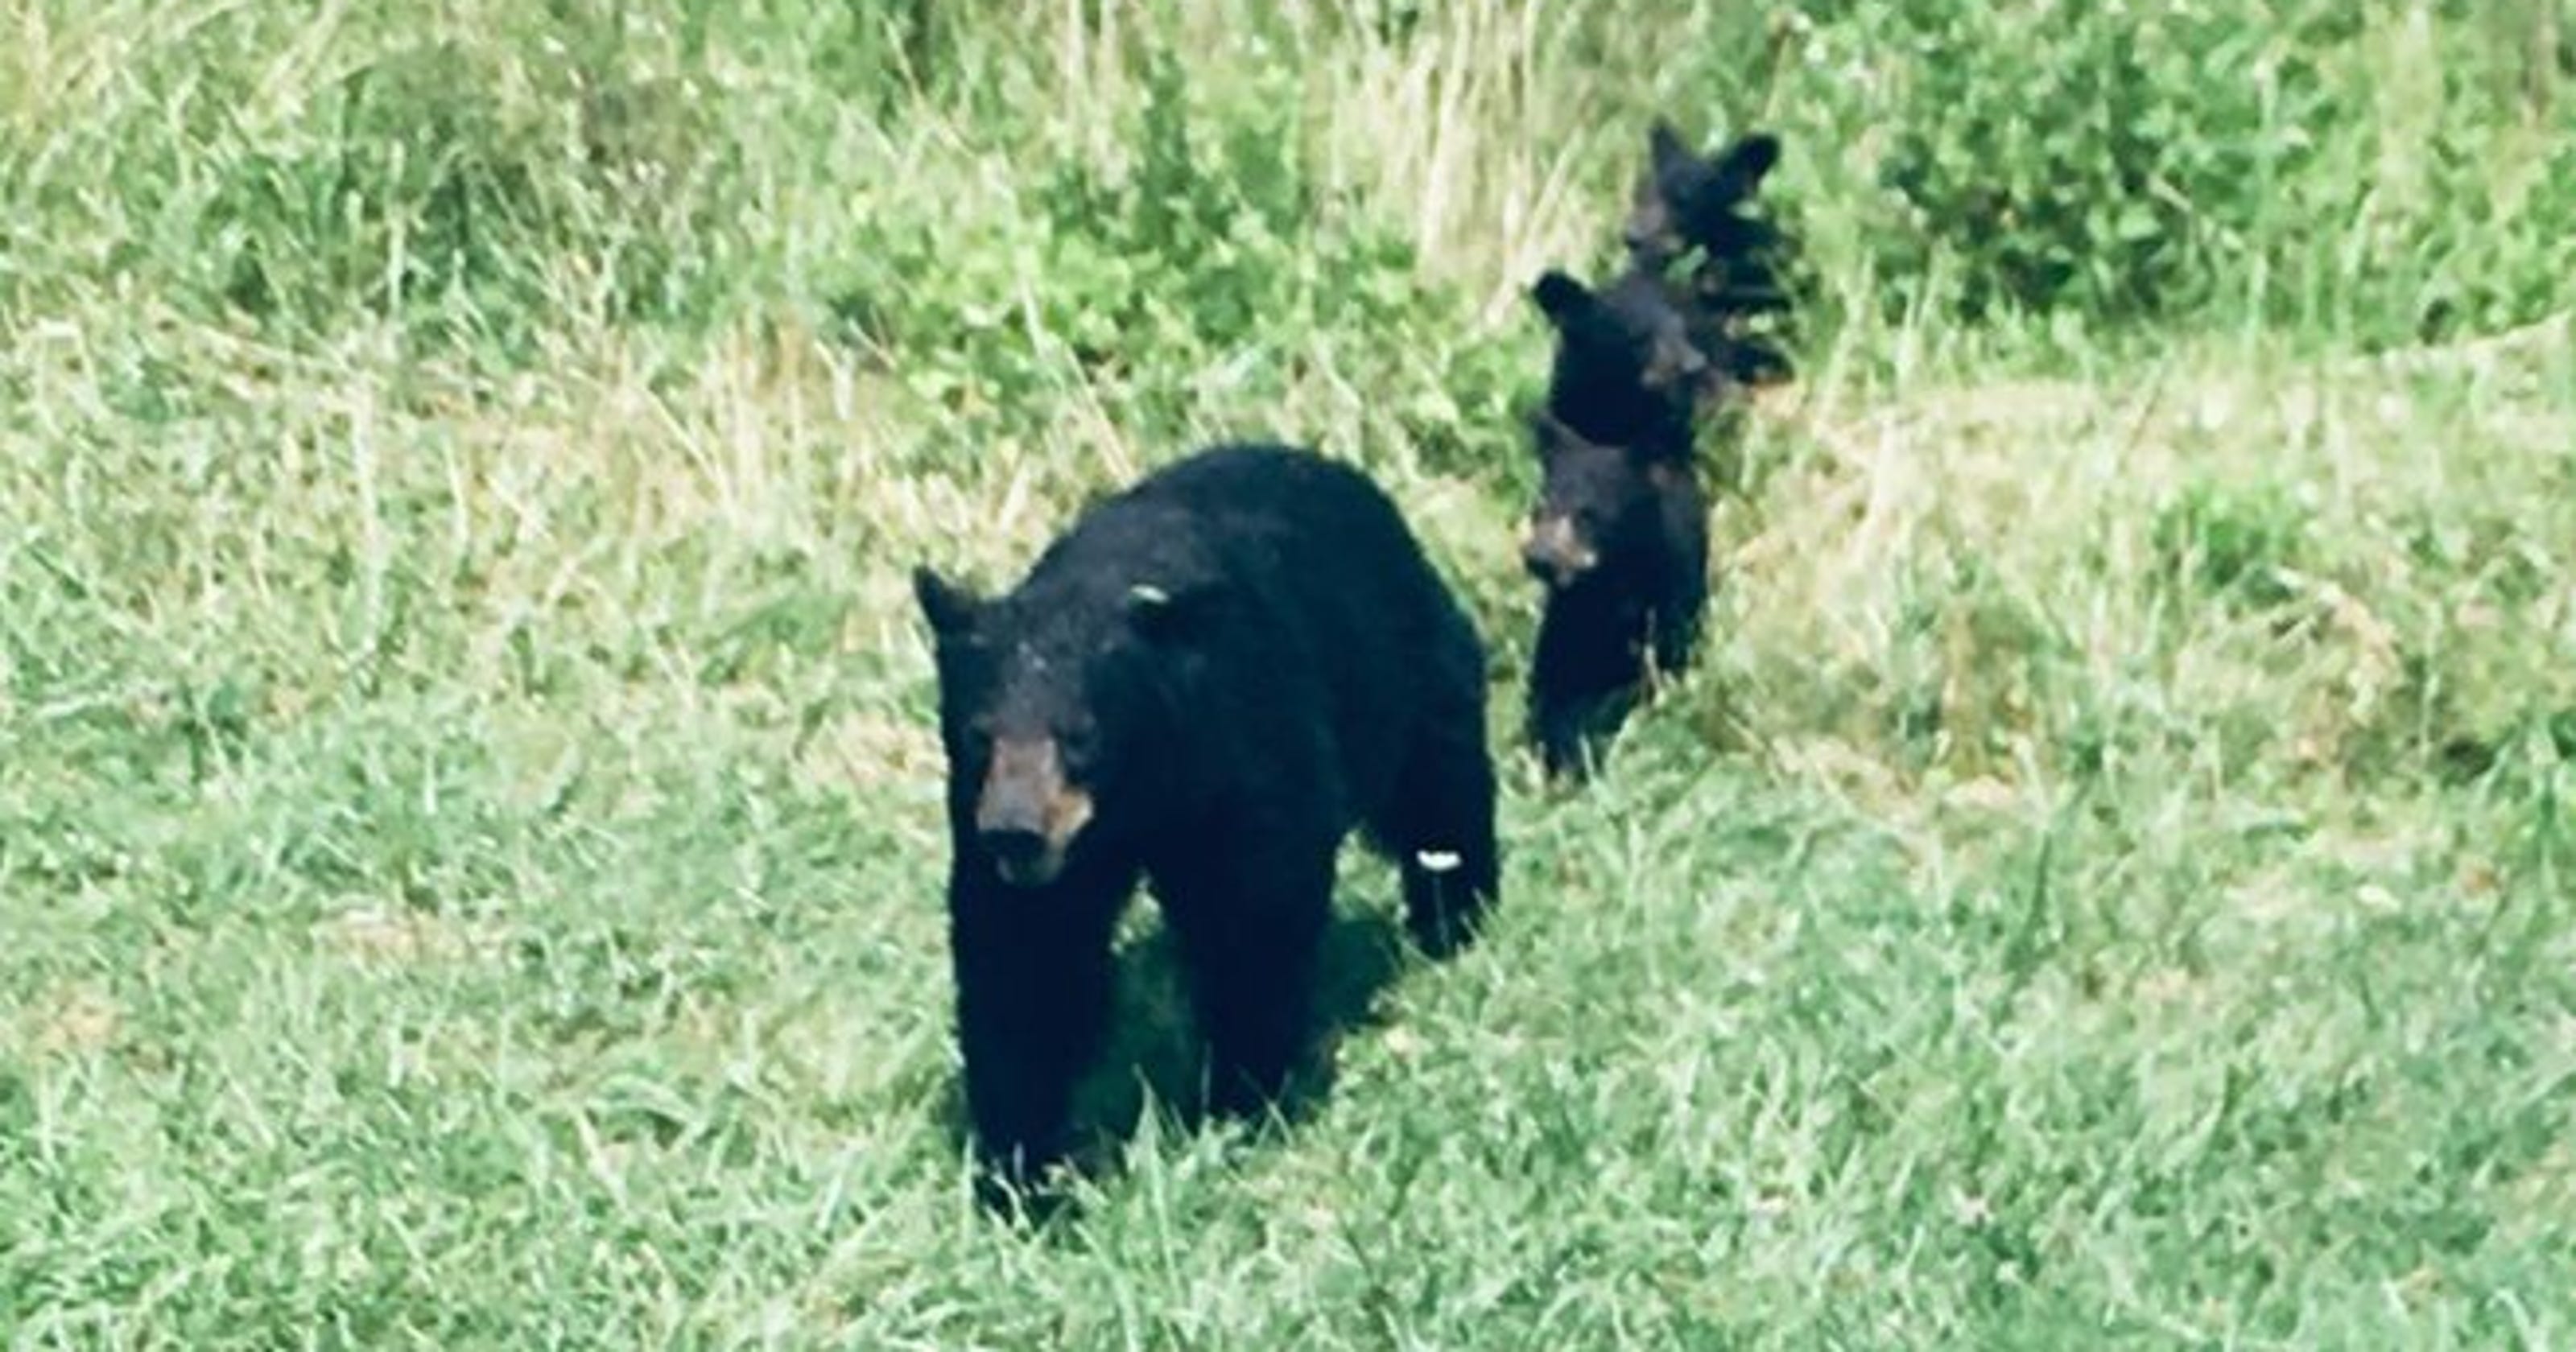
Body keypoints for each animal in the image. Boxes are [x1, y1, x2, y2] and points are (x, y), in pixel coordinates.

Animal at [911, 443, 1501, 1200]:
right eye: (980, 733)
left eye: (1081, 735)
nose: (1015, 830)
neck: (1139, 799)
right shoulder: (1009, 830)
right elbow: (1025, 956)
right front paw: (1025, 1165)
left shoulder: (1245, 747)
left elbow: (1253, 914)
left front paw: (1243, 1094)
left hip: (1405, 661)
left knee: (1439, 786)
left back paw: (1455, 916)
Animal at [1518, 410, 1710, 780]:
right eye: (1541, 505)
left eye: (1588, 513)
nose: (1539, 558)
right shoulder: (1569, 612)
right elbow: (1553, 682)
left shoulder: (1670, 599)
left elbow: (1653, 671)